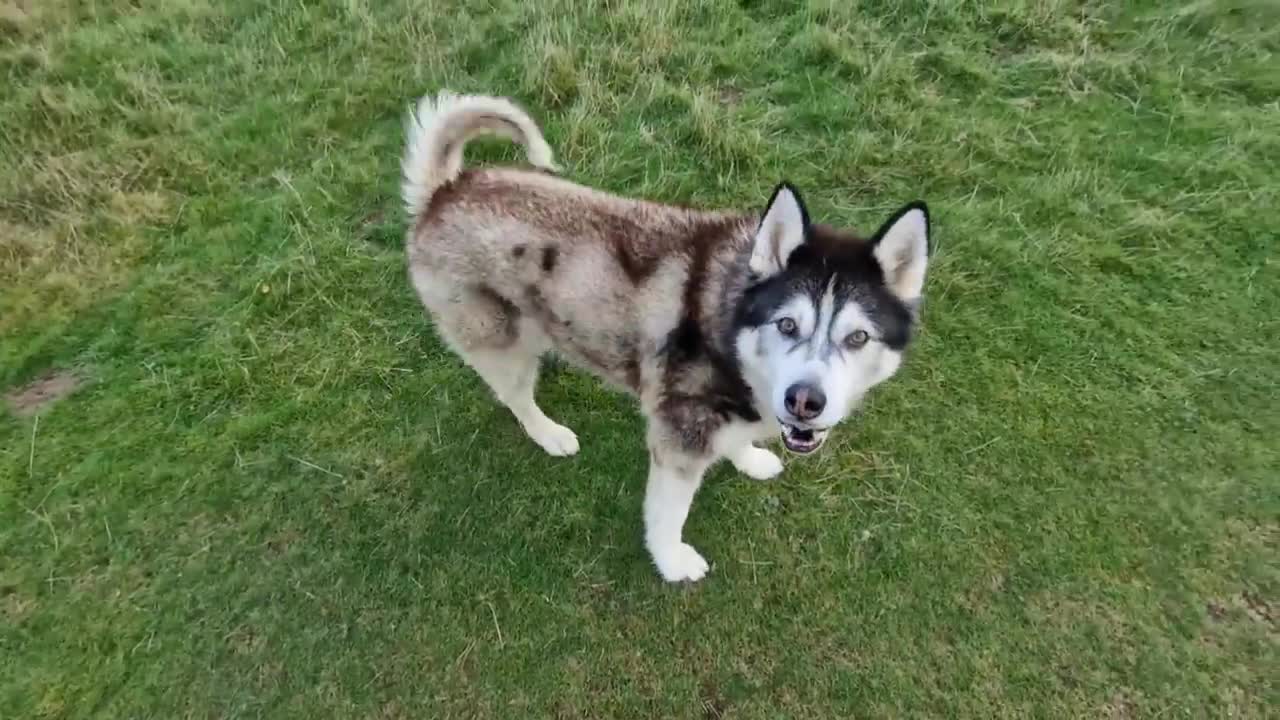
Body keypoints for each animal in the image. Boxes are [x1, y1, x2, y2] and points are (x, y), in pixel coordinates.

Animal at [401, 92, 931, 579]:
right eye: (787, 324)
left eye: (857, 337)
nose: (804, 401)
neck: (727, 324)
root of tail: (445, 189)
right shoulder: (677, 440)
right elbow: (668, 513)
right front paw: (672, 561)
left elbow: (738, 440)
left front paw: (750, 458)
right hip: (501, 342)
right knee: (515, 397)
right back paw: (549, 433)